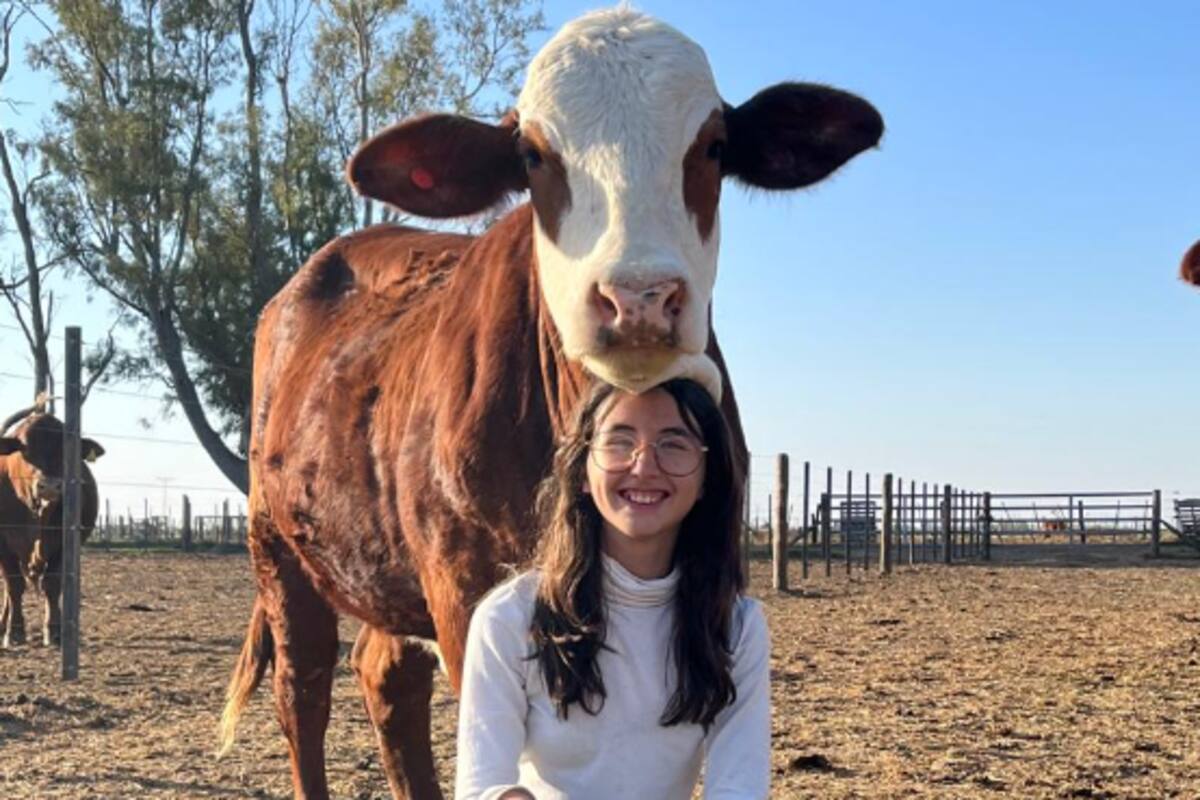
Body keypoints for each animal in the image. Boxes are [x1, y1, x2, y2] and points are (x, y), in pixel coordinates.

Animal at [0, 399, 104, 648]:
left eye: (66, 450)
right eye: (24, 448)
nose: (48, 486)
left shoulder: (65, 543)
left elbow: (53, 583)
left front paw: (54, 631)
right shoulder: (3, 544)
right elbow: (14, 585)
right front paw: (14, 632)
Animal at [219, 8, 883, 799]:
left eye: (715, 146)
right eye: (534, 155)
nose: (639, 297)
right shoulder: (463, 594)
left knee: (386, 678)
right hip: (277, 548)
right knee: (304, 692)